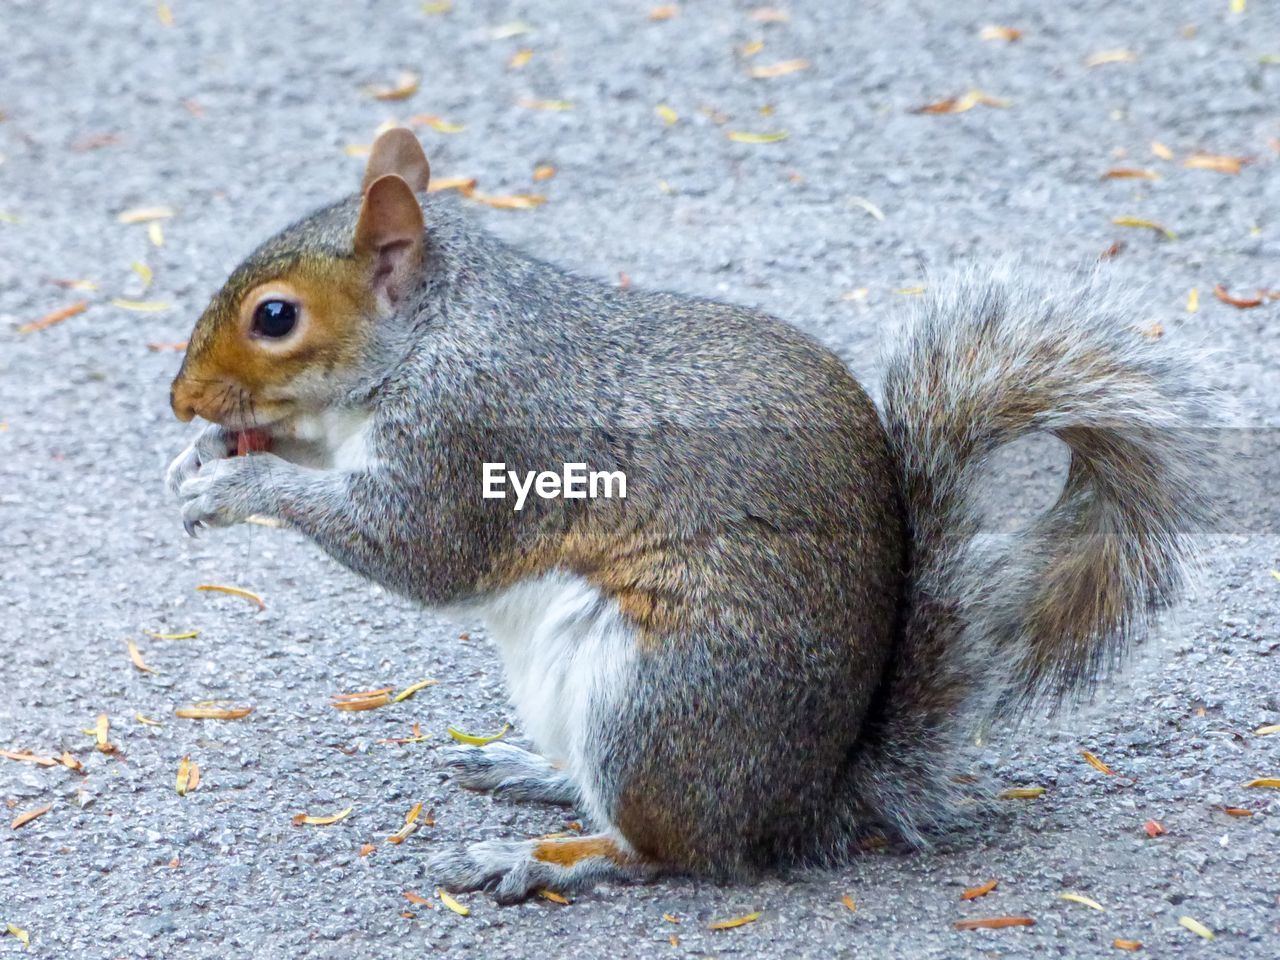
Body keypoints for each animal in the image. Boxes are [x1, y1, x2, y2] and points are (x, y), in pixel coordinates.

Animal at [162, 126, 1208, 901]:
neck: (433, 335)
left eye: (275, 317)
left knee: (673, 852)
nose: (179, 399)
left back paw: (539, 861)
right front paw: (204, 456)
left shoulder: (474, 436)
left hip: (656, 697)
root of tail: (802, 807)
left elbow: (417, 550)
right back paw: (536, 777)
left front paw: (238, 488)